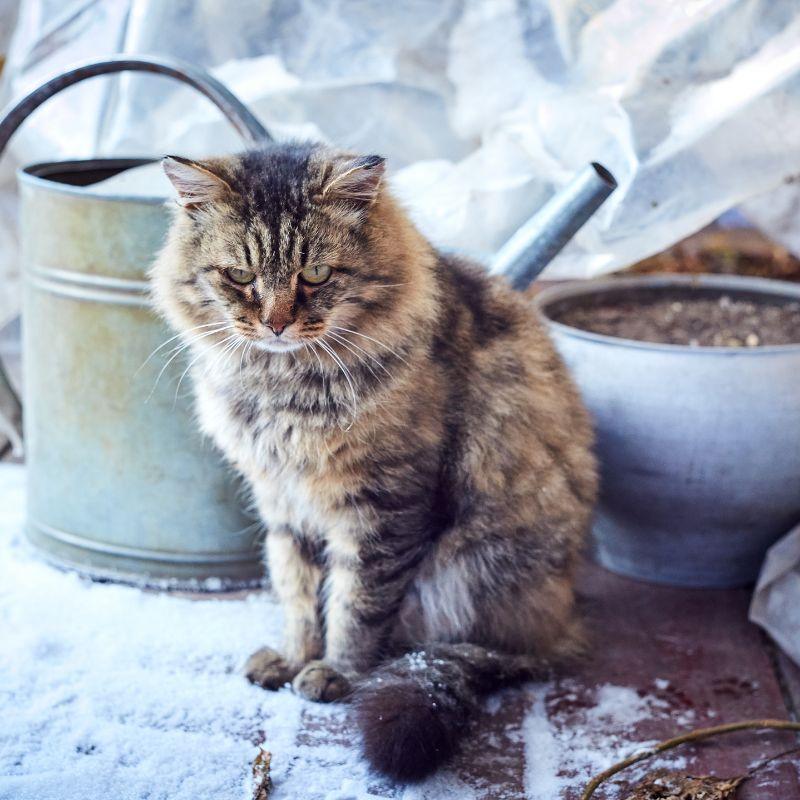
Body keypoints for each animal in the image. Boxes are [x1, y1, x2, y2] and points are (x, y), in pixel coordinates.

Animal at [152, 144, 592, 780]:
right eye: (239, 276)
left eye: (315, 275)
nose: (276, 324)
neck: (283, 390)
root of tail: (564, 625)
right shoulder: (283, 503)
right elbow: (297, 593)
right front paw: (291, 658)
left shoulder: (382, 503)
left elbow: (355, 604)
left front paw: (335, 673)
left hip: (472, 570)